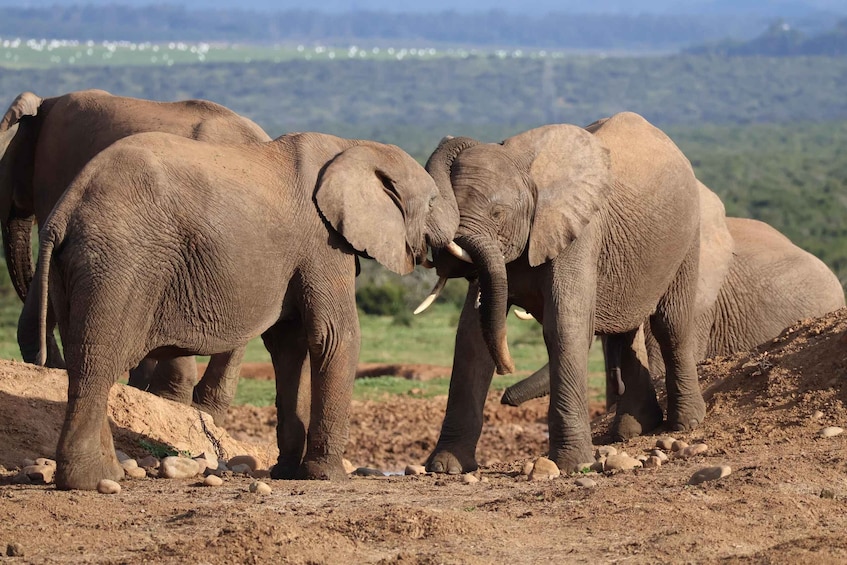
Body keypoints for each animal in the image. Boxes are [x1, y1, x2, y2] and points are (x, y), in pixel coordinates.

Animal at [28, 129, 458, 490]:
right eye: (433, 201)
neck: (352, 146)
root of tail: (63, 210)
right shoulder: (323, 243)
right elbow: (335, 338)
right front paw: (327, 477)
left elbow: (290, 344)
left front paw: (288, 473)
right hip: (121, 263)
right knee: (98, 363)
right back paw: (92, 481)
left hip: (80, 267)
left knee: (85, 361)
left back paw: (109, 474)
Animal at [416, 112, 704, 474]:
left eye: (497, 214)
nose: (508, 372)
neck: (521, 163)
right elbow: (471, 335)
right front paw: (445, 467)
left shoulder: (580, 230)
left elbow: (564, 327)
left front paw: (572, 465)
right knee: (622, 332)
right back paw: (633, 430)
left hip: (687, 235)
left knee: (671, 325)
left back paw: (685, 424)